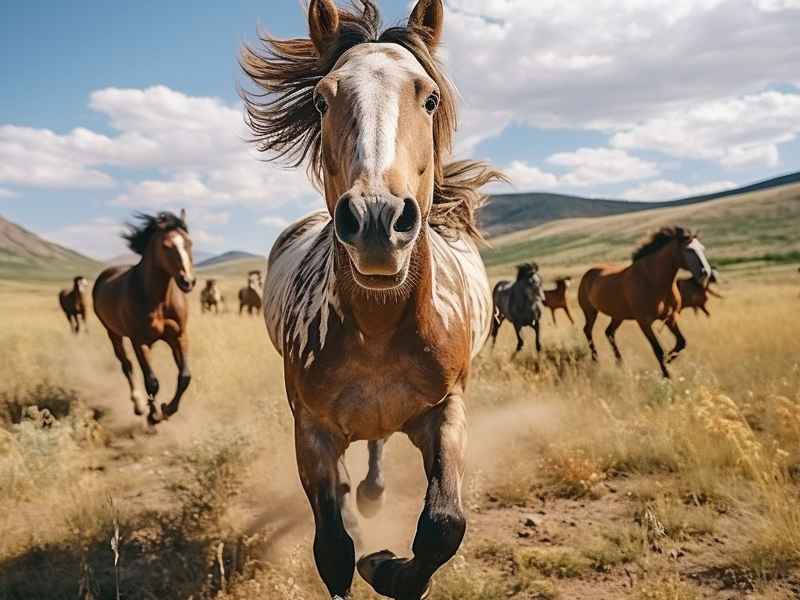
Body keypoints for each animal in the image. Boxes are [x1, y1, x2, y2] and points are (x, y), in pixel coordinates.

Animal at [93, 211, 196, 426]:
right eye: (165, 246)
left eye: (189, 243)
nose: (188, 281)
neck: (159, 300)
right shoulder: (139, 341)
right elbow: (152, 382)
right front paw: (154, 416)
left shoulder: (179, 337)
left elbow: (184, 377)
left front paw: (167, 409)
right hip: (113, 334)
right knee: (127, 366)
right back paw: (139, 405)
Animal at [241, 0, 505, 596]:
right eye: (322, 99)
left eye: (428, 97)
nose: (378, 221)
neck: (380, 329)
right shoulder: (311, 429)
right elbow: (333, 552)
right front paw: (367, 553)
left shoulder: (447, 410)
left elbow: (442, 526)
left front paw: (385, 565)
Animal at [578, 227, 711, 379]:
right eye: (688, 250)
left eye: (702, 248)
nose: (705, 273)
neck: (653, 281)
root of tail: (588, 274)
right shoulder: (644, 322)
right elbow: (658, 350)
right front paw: (666, 375)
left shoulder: (670, 317)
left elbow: (681, 342)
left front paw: (668, 360)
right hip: (590, 312)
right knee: (588, 330)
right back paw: (596, 360)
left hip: (618, 316)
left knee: (609, 333)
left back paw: (619, 362)